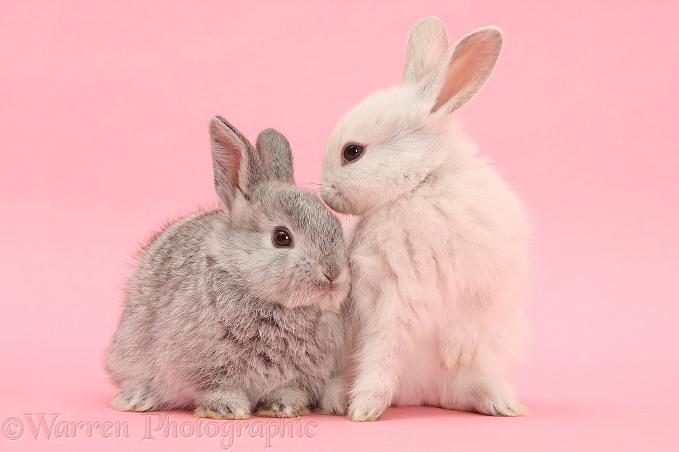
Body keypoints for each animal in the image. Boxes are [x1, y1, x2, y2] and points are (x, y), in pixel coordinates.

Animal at [318, 16, 532, 420]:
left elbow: (471, 313)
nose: (325, 193)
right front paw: (362, 407)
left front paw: (454, 352)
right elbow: (382, 350)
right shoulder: (388, 296)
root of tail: (419, 396)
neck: (418, 186)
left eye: (352, 152)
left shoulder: (489, 274)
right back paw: (355, 405)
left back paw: (503, 404)